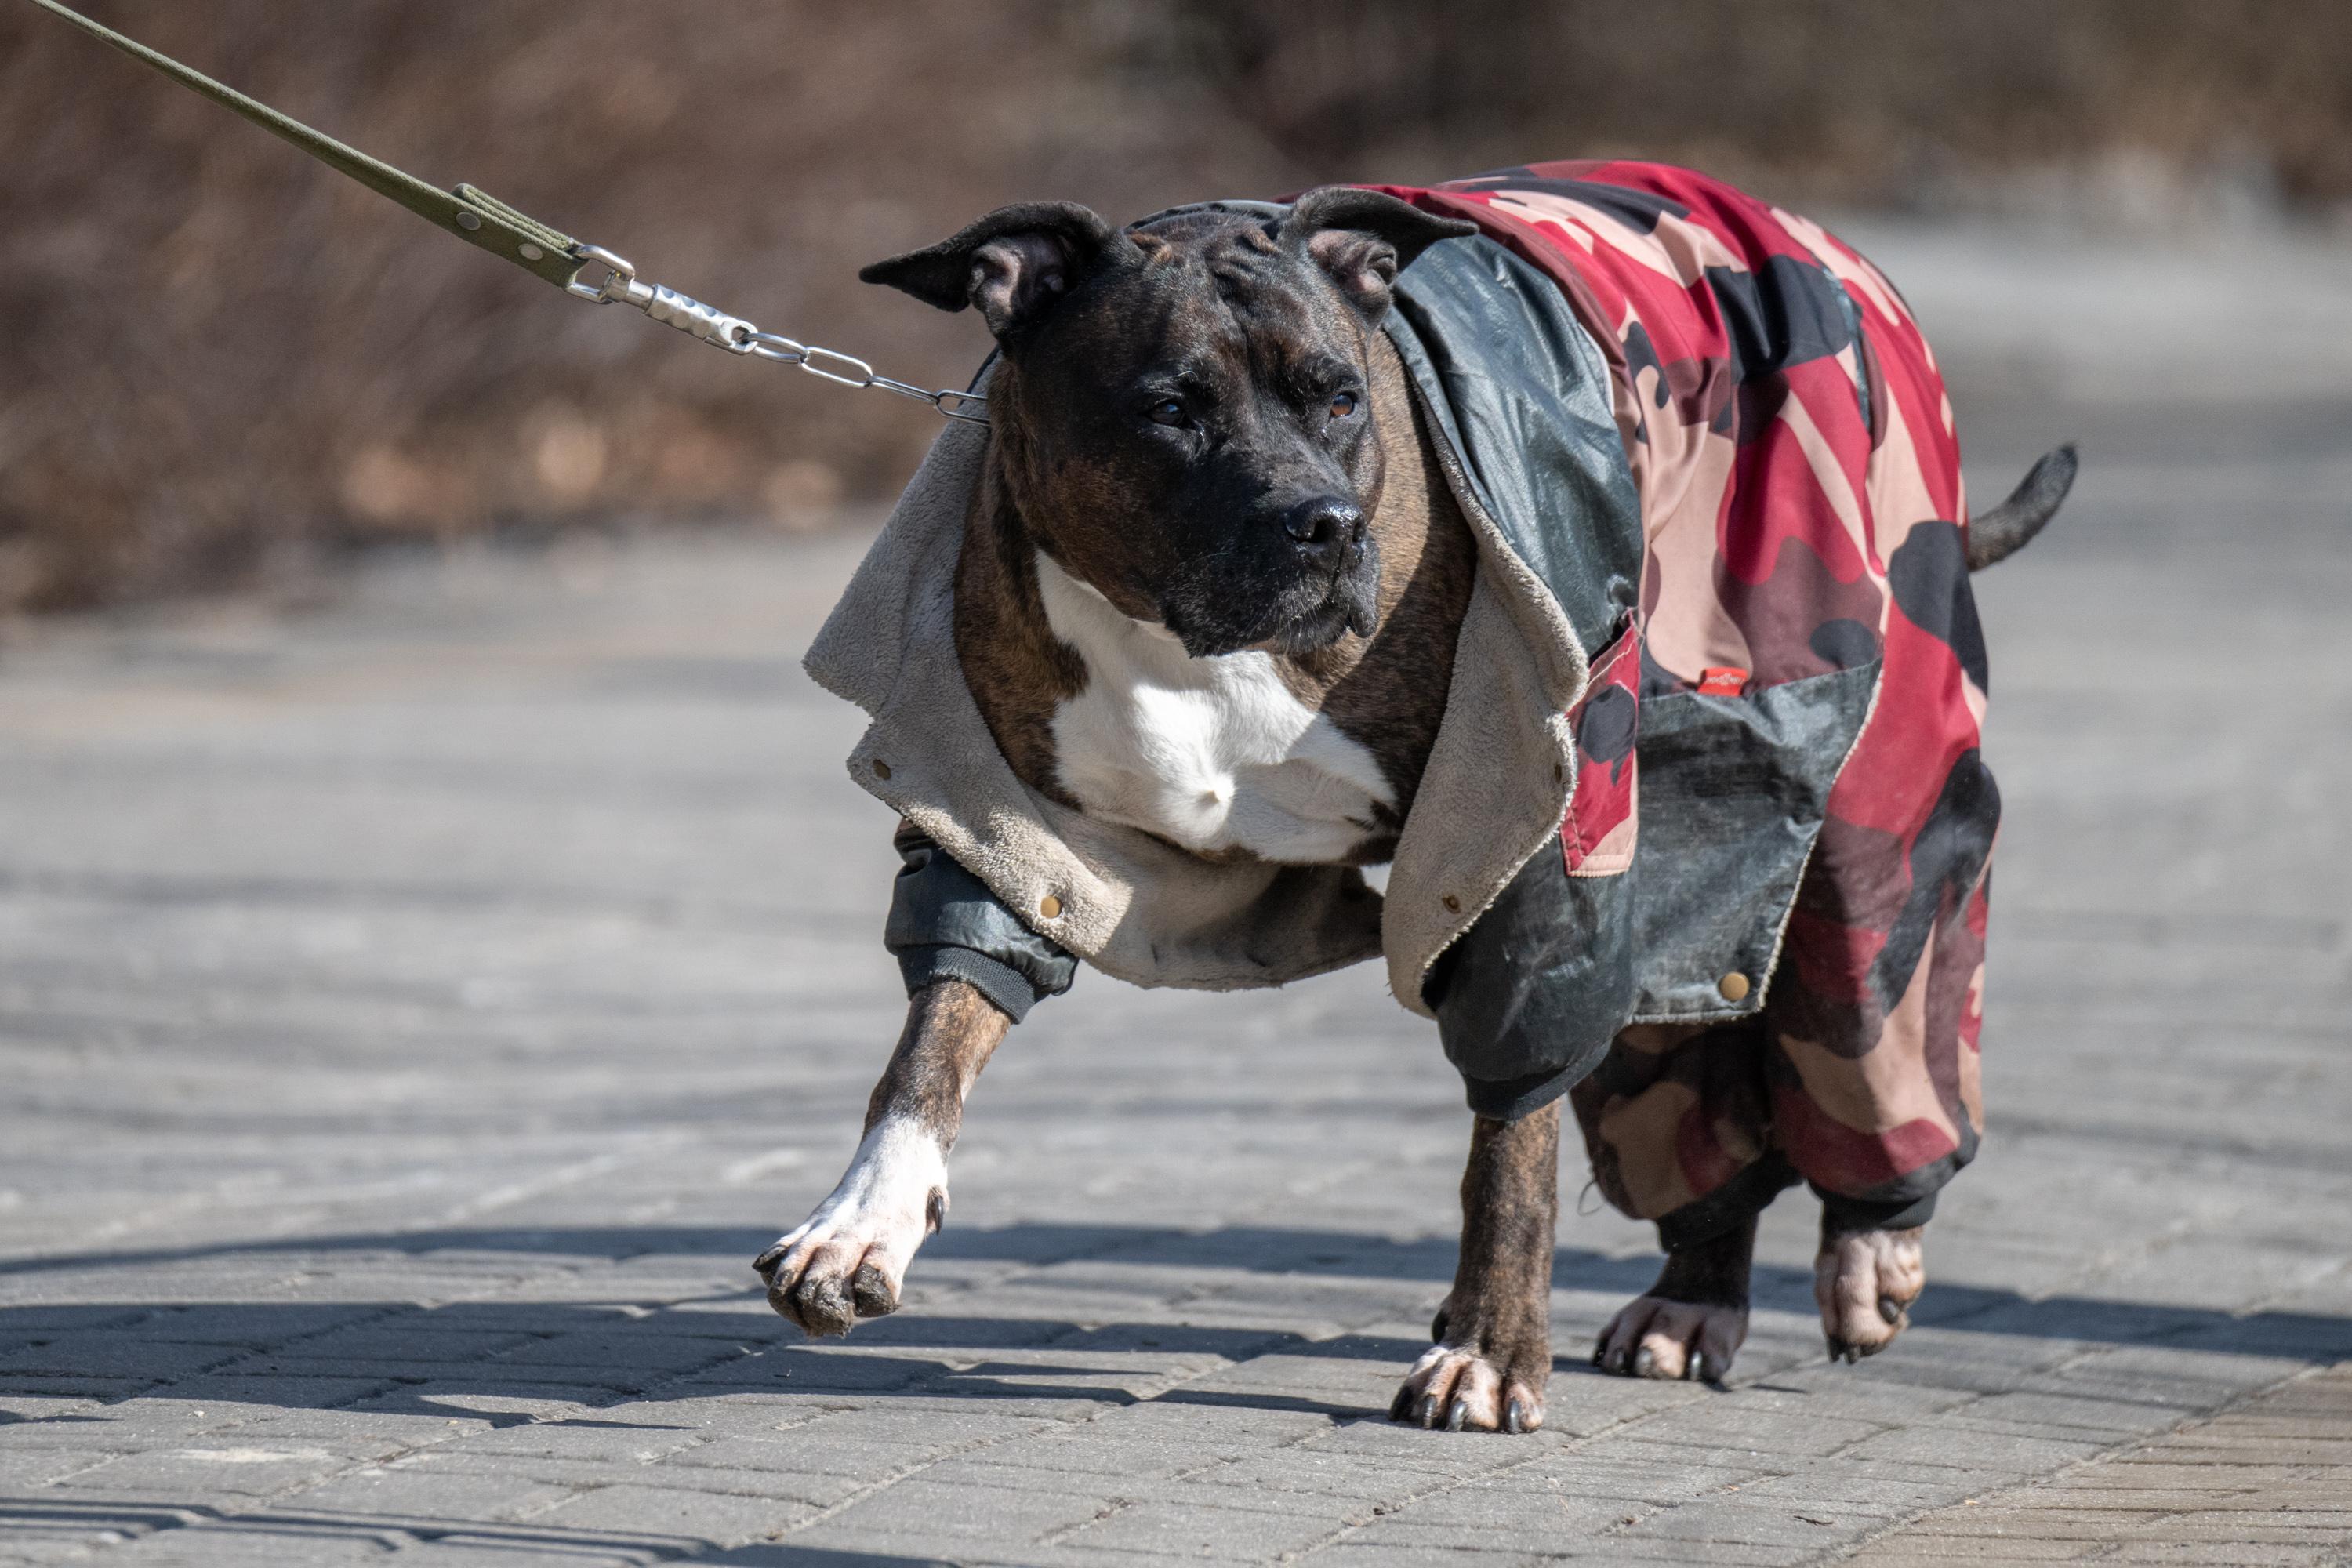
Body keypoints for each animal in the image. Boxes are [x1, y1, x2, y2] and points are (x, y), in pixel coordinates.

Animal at [748, 162, 2060, 1439]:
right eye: (1169, 408)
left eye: (1339, 398)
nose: (1321, 525)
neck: (1194, 646)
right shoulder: (1006, 824)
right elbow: (937, 1033)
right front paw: (862, 1217)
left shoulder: (1527, 848)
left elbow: (1512, 1137)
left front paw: (1486, 1350)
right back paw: (1697, 1295)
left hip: (1855, 767)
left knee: (1880, 981)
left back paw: (1873, 1238)